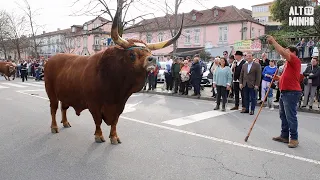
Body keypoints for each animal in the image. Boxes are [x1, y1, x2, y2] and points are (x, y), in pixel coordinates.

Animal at [44, 7, 184, 144]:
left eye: (149, 51)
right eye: (132, 54)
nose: (153, 59)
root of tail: (51, 59)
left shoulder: (119, 105)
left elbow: (115, 121)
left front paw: (114, 137)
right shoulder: (94, 104)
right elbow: (98, 120)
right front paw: (99, 136)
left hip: (65, 93)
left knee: (64, 107)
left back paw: (66, 123)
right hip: (51, 93)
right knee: (53, 109)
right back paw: (54, 127)